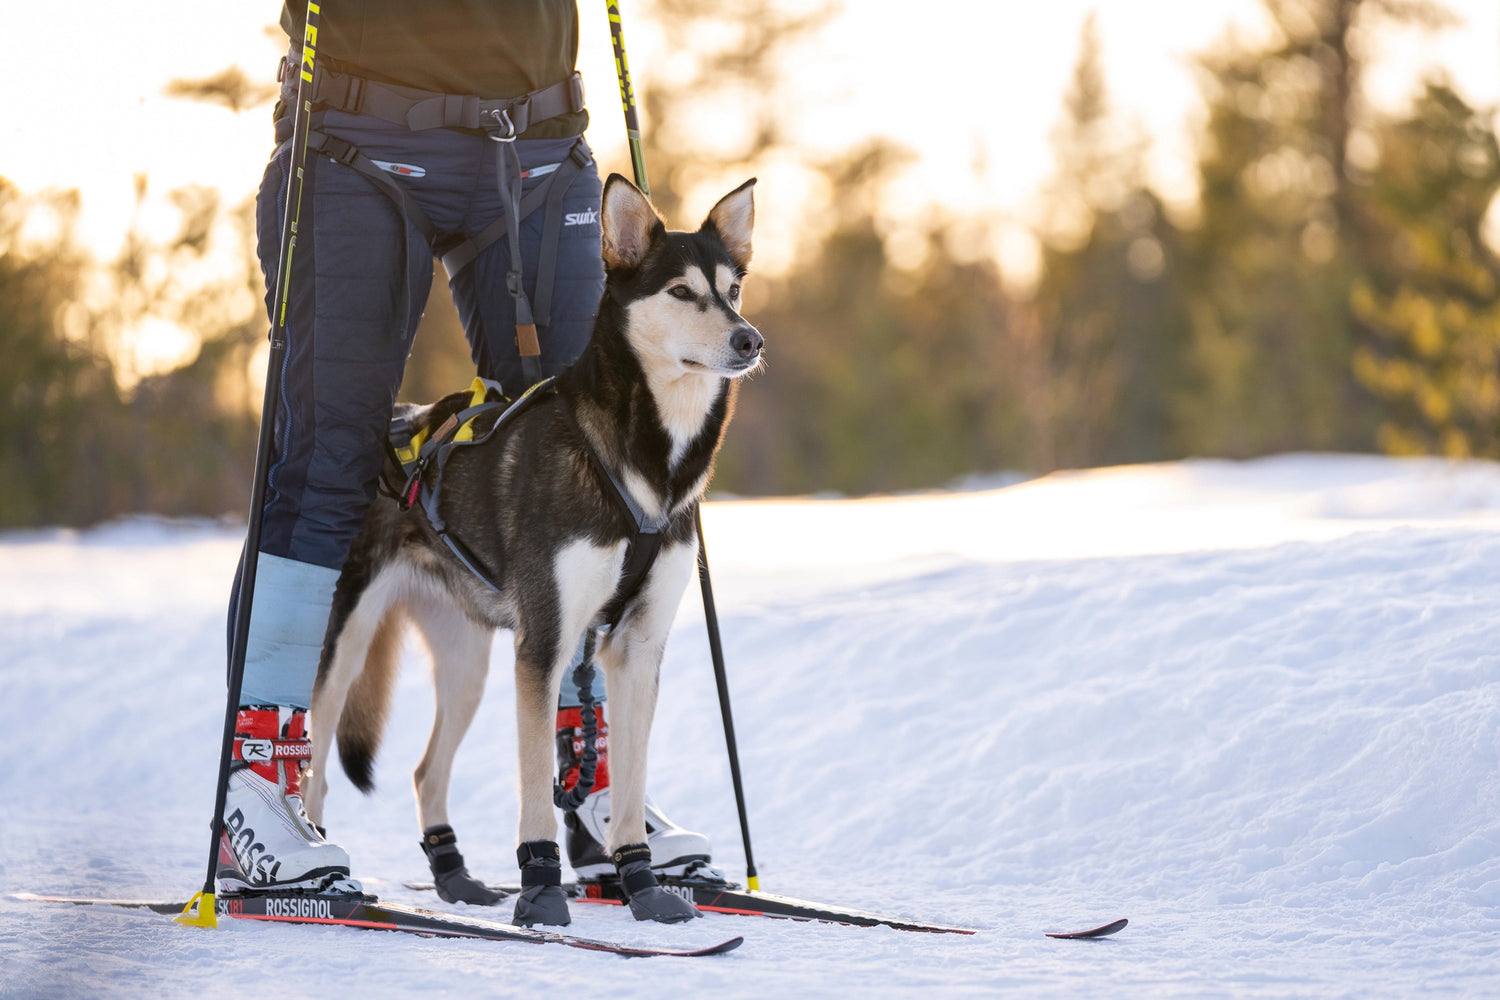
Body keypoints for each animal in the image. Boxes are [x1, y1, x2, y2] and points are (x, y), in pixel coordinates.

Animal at [301, 173, 762, 929]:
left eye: (733, 289)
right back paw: (309, 860)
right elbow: (533, 793)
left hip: (468, 664)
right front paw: (542, 890)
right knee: (316, 754)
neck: (645, 461)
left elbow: (628, 785)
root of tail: (397, 424)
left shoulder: (636, 648)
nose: (750, 339)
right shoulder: (545, 644)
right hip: (347, 643)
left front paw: (642, 886)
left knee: (426, 771)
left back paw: (454, 877)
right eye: (681, 291)